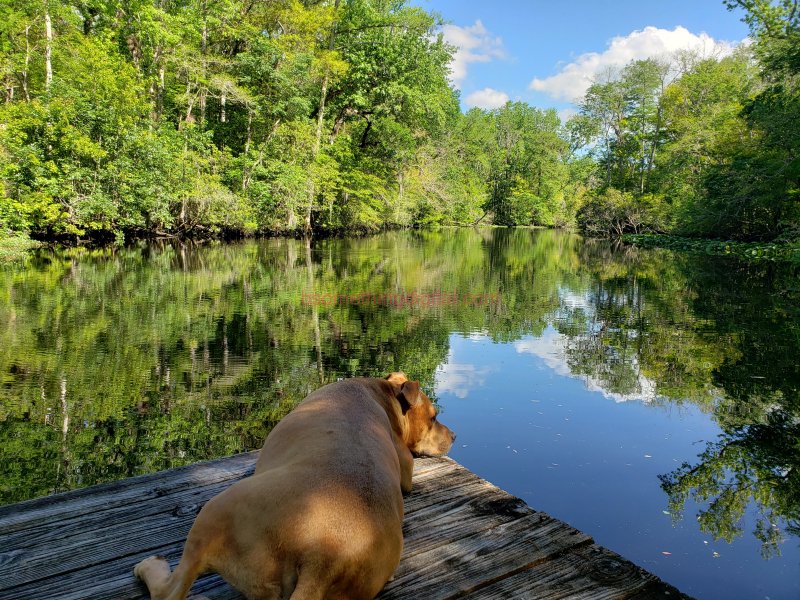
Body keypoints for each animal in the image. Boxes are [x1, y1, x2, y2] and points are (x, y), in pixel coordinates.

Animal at [134, 372, 454, 596]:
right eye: (434, 417)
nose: (454, 435)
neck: (379, 394)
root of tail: (322, 561)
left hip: (214, 512)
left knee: (169, 592)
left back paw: (151, 567)